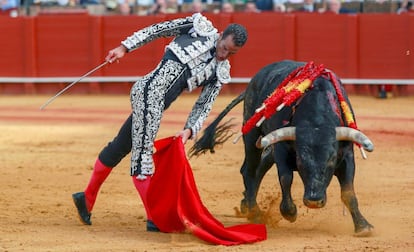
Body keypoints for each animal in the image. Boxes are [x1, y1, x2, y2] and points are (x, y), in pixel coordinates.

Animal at [191, 60, 376, 236]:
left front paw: (363, 226)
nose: (313, 201)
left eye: (331, 160)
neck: (317, 123)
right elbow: (286, 178)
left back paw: (246, 206)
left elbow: (348, 192)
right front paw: (290, 212)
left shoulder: (346, 156)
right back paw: (254, 212)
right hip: (251, 135)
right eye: (300, 160)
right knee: (249, 170)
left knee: (259, 167)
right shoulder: (281, 149)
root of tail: (254, 80)